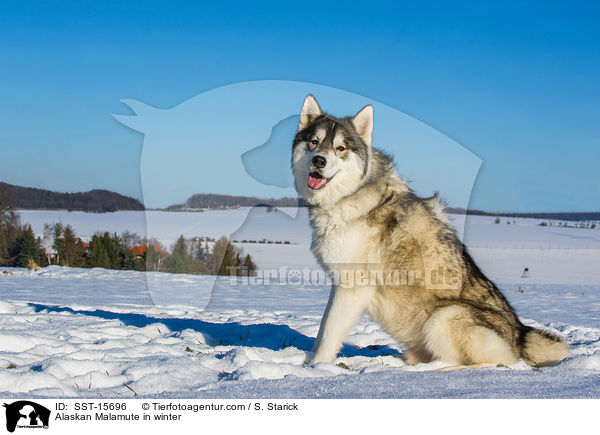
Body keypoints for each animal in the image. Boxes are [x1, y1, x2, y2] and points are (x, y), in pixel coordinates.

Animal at [292, 94, 568, 368]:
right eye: (314, 142)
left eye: (340, 148)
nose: (319, 160)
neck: (348, 196)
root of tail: (520, 335)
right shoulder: (338, 284)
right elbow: (322, 327)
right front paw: (307, 361)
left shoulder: (352, 286)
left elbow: (329, 332)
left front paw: (318, 366)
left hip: (443, 317)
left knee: (485, 363)